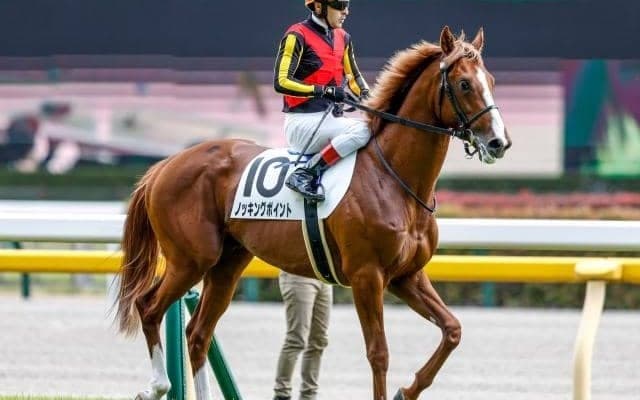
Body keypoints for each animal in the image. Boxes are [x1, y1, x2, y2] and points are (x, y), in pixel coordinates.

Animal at [115, 26, 511, 400]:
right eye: (464, 84)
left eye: (491, 81)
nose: (499, 143)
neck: (394, 179)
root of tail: (164, 166)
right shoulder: (368, 276)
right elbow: (379, 352)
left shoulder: (407, 275)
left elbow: (453, 330)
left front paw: (408, 390)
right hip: (191, 260)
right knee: (148, 307)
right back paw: (156, 385)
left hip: (227, 265)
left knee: (198, 333)